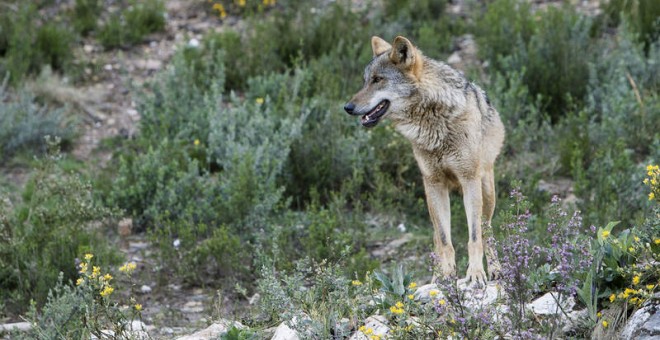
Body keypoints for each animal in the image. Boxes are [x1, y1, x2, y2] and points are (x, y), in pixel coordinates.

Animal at [346, 35, 506, 284]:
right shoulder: (433, 183)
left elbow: (474, 237)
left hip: (486, 191)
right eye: (365, 81)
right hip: (432, 197)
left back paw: (496, 270)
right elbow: (444, 239)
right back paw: (435, 276)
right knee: (437, 238)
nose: (348, 107)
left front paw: (475, 273)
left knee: (486, 230)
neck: (435, 121)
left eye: (378, 80)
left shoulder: (469, 179)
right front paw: (446, 276)